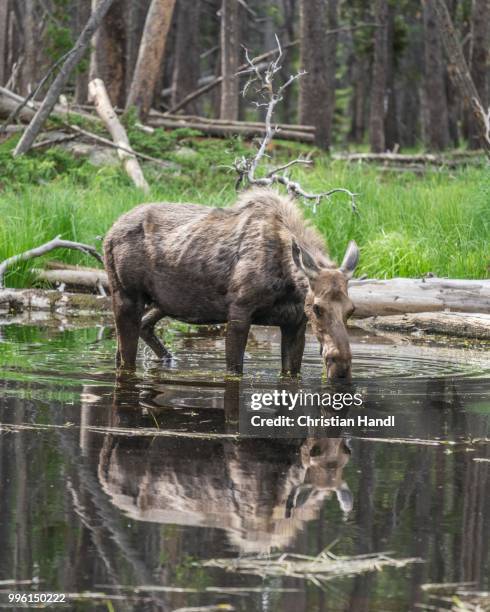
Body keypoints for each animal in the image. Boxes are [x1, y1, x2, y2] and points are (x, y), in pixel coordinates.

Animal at [103, 186, 358, 378]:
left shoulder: (294, 323)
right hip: (126, 295)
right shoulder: (239, 312)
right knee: (126, 358)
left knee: (138, 332)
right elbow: (234, 370)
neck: (289, 284)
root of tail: (108, 234)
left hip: (164, 303)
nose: (341, 366)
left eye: (351, 309)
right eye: (317, 308)